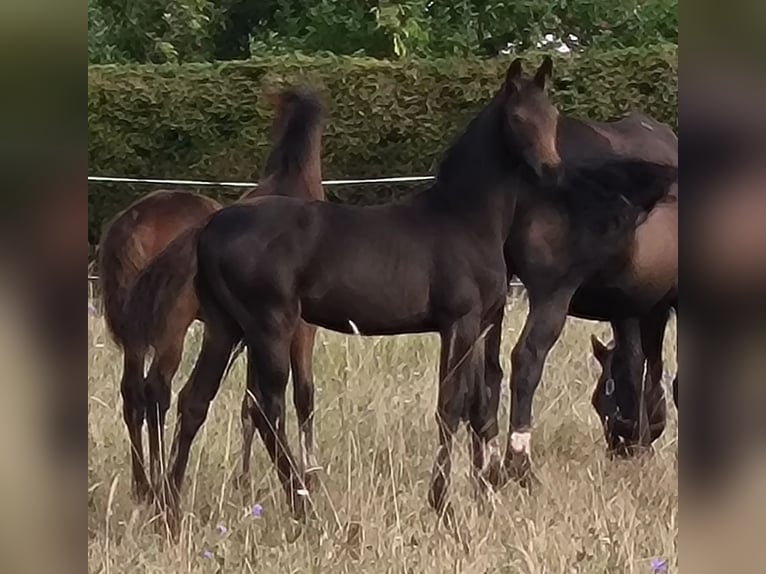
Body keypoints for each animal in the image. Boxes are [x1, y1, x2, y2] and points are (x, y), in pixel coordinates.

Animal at [97, 88, 326, 502]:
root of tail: (134, 220)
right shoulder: (300, 329)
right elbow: (302, 396)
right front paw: (308, 476)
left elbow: (252, 401)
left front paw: (245, 479)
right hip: (171, 327)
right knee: (157, 390)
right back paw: (159, 484)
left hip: (138, 333)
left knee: (133, 394)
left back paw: (143, 485)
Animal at [142, 57, 680, 532]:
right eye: (518, 117)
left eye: (551, 116)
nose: (550, 171)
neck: (464, 218)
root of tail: (209, 227)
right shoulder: (458, 321)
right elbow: (451, 405)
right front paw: (443, 502)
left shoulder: (479, 323)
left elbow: (476, 402)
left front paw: (481, 491)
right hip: (270, 326)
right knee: (265, 407)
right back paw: (303, 506)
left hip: (225, 327)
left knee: (194, 400)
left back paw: (169, 511)